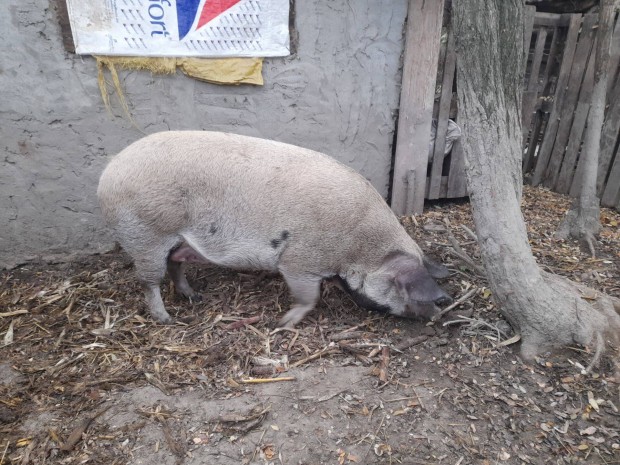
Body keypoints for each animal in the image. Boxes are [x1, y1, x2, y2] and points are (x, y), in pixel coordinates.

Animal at [99, 130, 452, 326]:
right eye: (404, 288)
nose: (438, 314)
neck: (359, 246)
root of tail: (108, 172)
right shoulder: (298, 261)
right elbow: (309, 297)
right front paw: (282, 324)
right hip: (145, 236)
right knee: (149, 281)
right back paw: (167, 320)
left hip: (175, 240)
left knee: (175, 265)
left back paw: (194, 297)